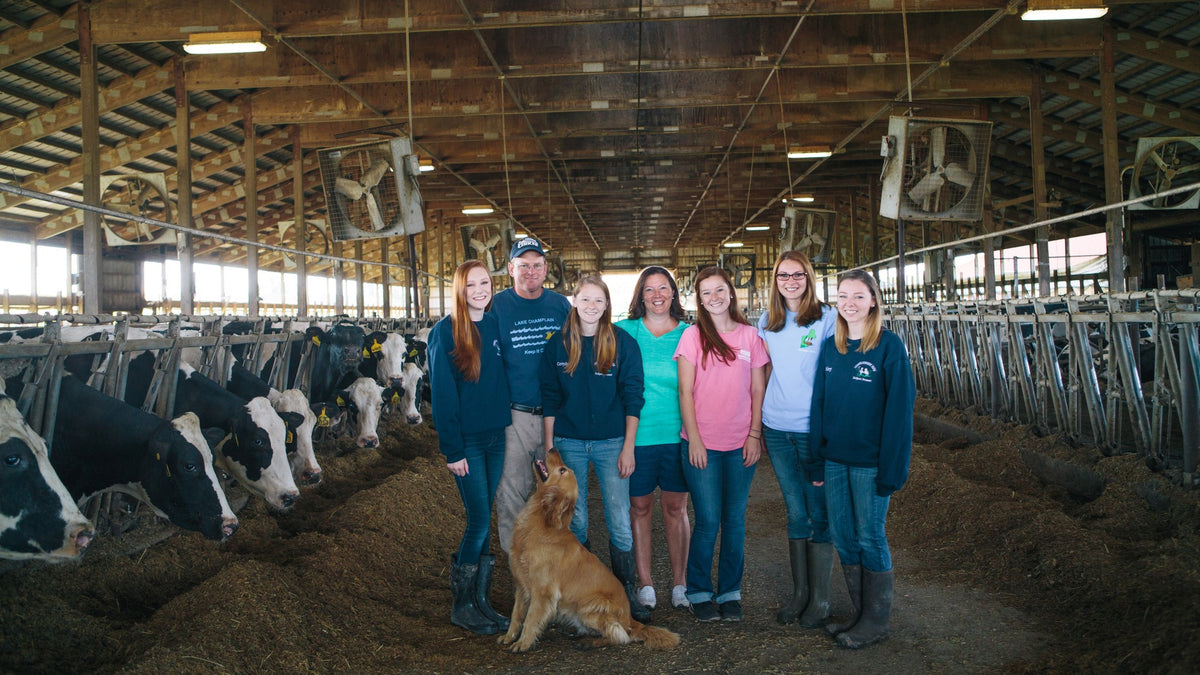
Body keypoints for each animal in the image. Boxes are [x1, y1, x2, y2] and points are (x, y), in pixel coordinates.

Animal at [499, 449, 686, 648]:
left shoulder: (543, 592)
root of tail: (630, 619)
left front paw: (522, 643)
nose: (553, 448)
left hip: (590, 607)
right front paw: (509, 637)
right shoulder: (521, 586)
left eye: (563, 470)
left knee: (621, 636)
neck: (541, 522)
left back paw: (591, 642)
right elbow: (516, 615)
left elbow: (530, 619)